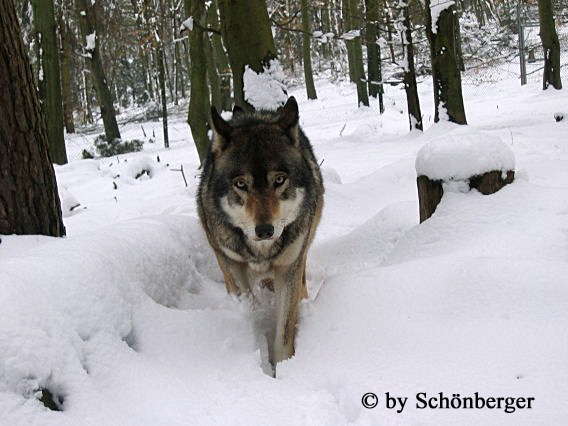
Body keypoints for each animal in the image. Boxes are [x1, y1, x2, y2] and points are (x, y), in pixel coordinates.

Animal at [197, 96, 324, 370]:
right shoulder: (233, 266)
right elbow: (250, 307)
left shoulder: (289, 266)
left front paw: (283, 367)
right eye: (241, 184)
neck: (262, 252)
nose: (265, 230)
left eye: (279, 180)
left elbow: (284, 330)